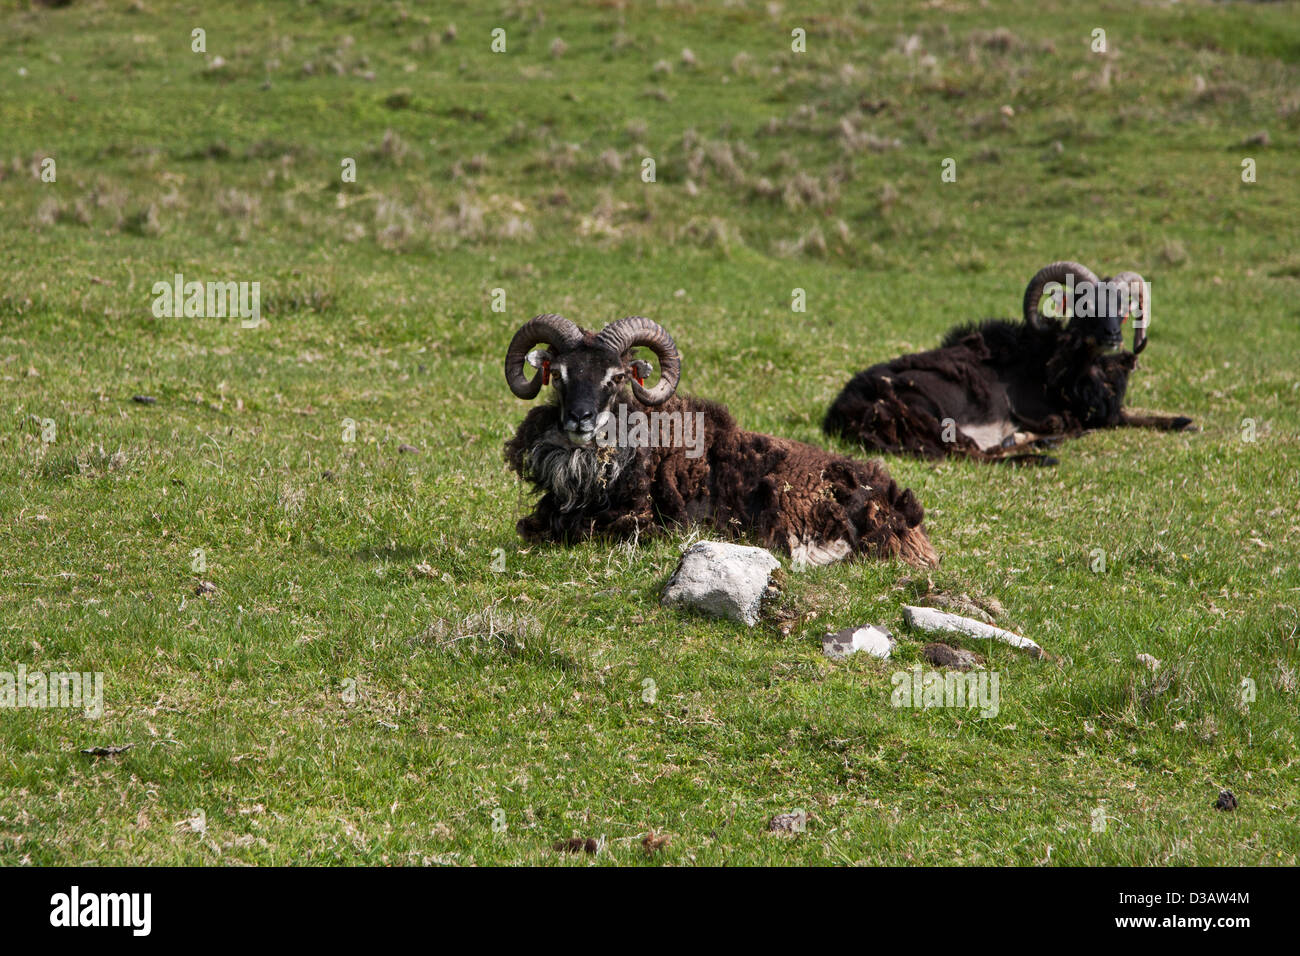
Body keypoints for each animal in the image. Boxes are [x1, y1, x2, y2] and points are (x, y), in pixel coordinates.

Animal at [826, 260, 1190, 465]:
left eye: (1121, 304)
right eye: (1084, 303)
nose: (1113, 334)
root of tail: (842, 413)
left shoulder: (1104, 410)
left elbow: (1132, 417)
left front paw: (1185, 422)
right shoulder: (1039, 411)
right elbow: (1067, 424)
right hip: (929, 413)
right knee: (974, 455)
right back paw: (1039, 455)